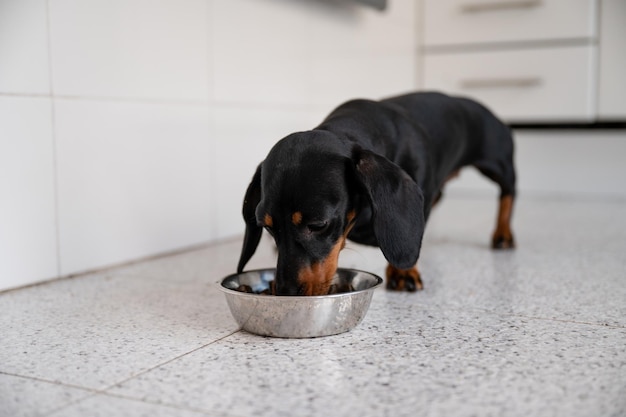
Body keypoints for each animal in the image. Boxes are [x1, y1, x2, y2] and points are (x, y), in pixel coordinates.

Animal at [236, 91, 516, 296]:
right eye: (267, 226)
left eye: (318, 225)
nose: (286, 292)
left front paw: (404, 272)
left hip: (499, 163)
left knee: (508, 192)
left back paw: (503, 233)